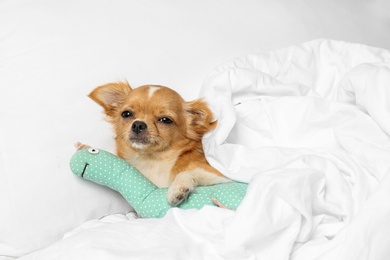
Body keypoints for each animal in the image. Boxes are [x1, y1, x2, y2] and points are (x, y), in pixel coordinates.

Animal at [87, 82, 229, 206]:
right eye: (126, 114)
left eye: (165, 120)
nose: (138, 124)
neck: (152, 161)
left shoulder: (221, 176)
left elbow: (186, 172)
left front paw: (177, 189)